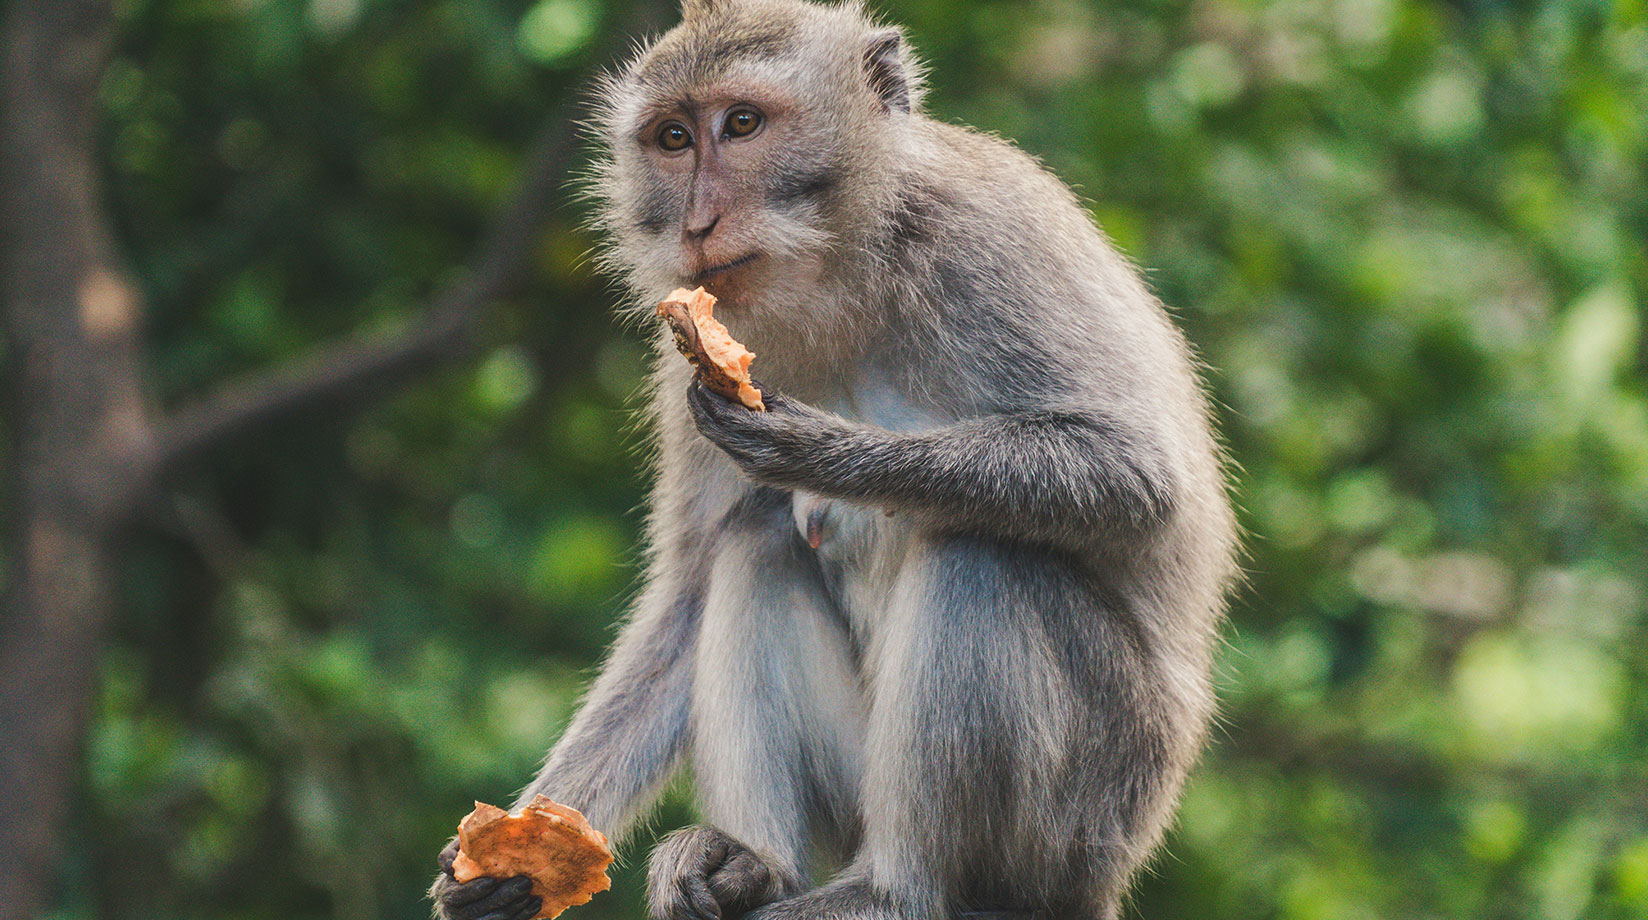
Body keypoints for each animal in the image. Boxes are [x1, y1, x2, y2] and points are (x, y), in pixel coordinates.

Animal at [429, 1, 1239, 919]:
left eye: (743, 124)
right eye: (673, 138)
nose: (696, 223)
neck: (843, 272)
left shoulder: (988, 239)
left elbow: (1137, 474)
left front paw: (814, 450)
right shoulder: (688, 352)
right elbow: (688, 596)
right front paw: (516, 857)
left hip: (1087, 814)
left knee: (979, 554)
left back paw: (893, 889)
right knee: (756, 543)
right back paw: (757, 866)